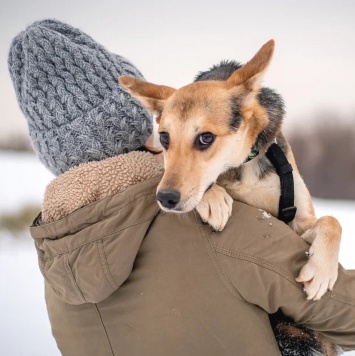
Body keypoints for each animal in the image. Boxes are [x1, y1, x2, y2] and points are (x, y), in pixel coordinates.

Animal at [119, 39, 342, 300]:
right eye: (164, 137)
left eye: (205, 138)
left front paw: (322, 270)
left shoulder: (299, 222)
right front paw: (213, 198)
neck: (242, 165)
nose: (165, 198)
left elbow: (331, 221)